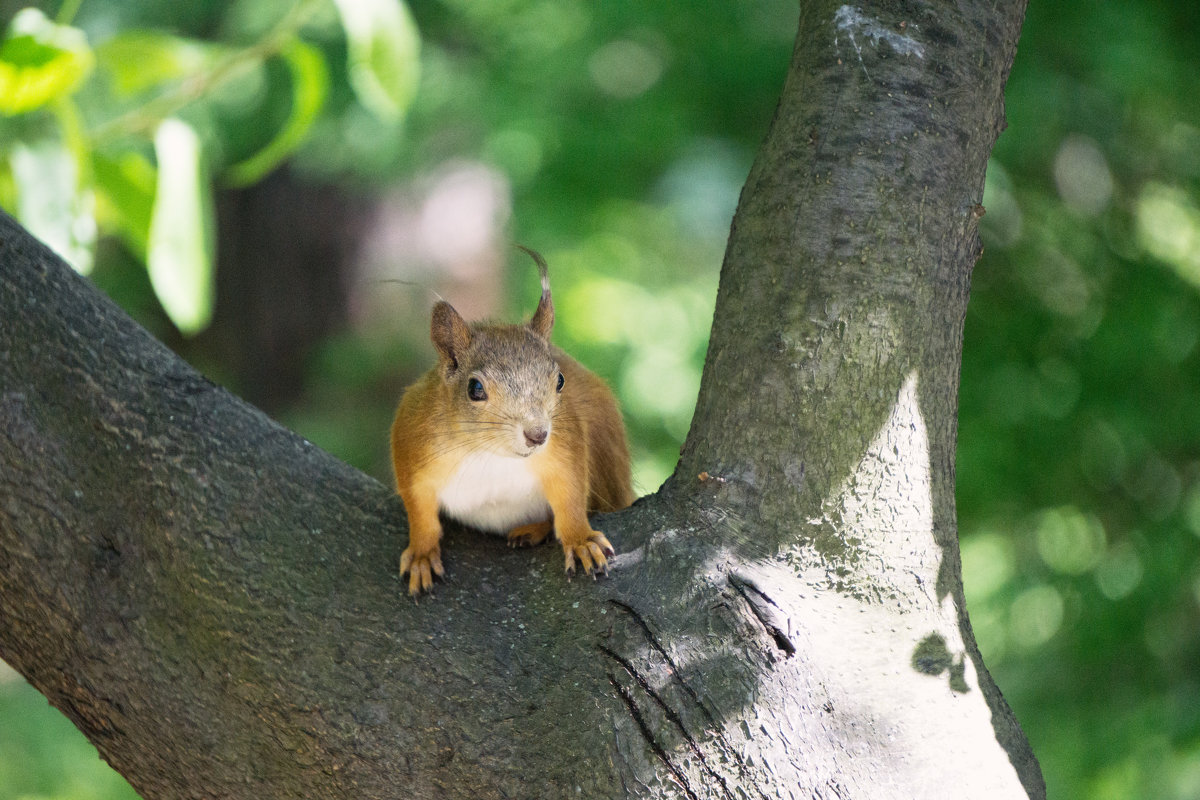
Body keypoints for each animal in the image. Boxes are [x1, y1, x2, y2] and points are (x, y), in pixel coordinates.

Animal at [393, 248, 638, 594]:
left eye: (559, 380)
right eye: (475, 388)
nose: (537, 435)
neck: (492, 456)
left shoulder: (565, 447)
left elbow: (571, 495)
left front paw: (580, 540)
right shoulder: (414, 442)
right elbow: (419, 508)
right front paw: (422, 555)